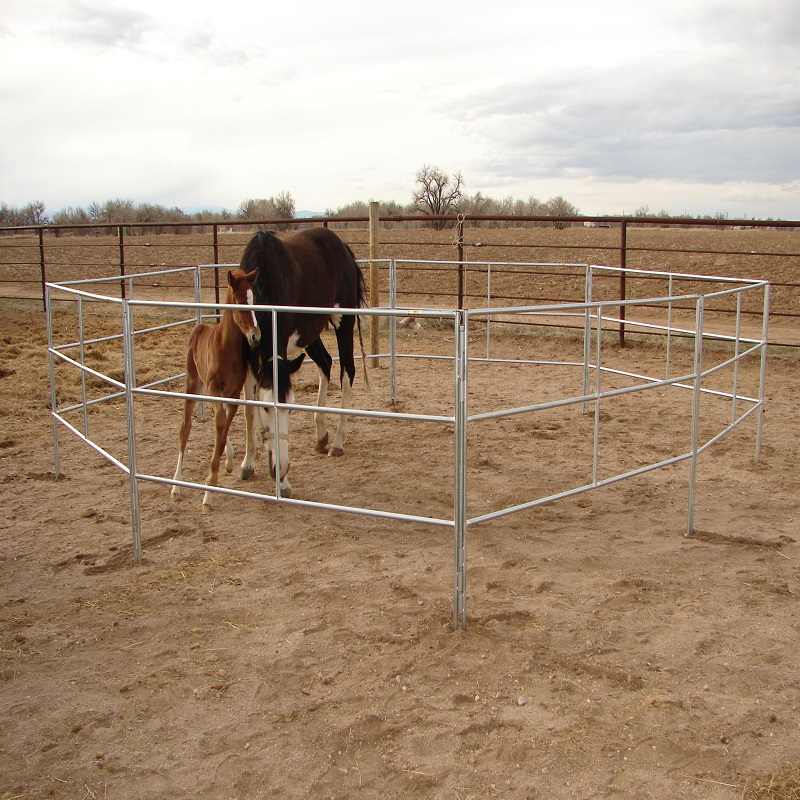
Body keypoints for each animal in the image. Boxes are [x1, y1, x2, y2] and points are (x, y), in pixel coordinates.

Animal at [171, 266, 260, 510]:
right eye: (238, 301)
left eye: (254, 299)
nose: (256, 336)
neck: (225, 346)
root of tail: (199, 327)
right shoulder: (213, 386)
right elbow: (220, 422)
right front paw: (209, 488)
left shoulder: (234, 392)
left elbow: (225, 424)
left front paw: (222, 467)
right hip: (192, 383)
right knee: (185, 428)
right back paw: (175, 486)